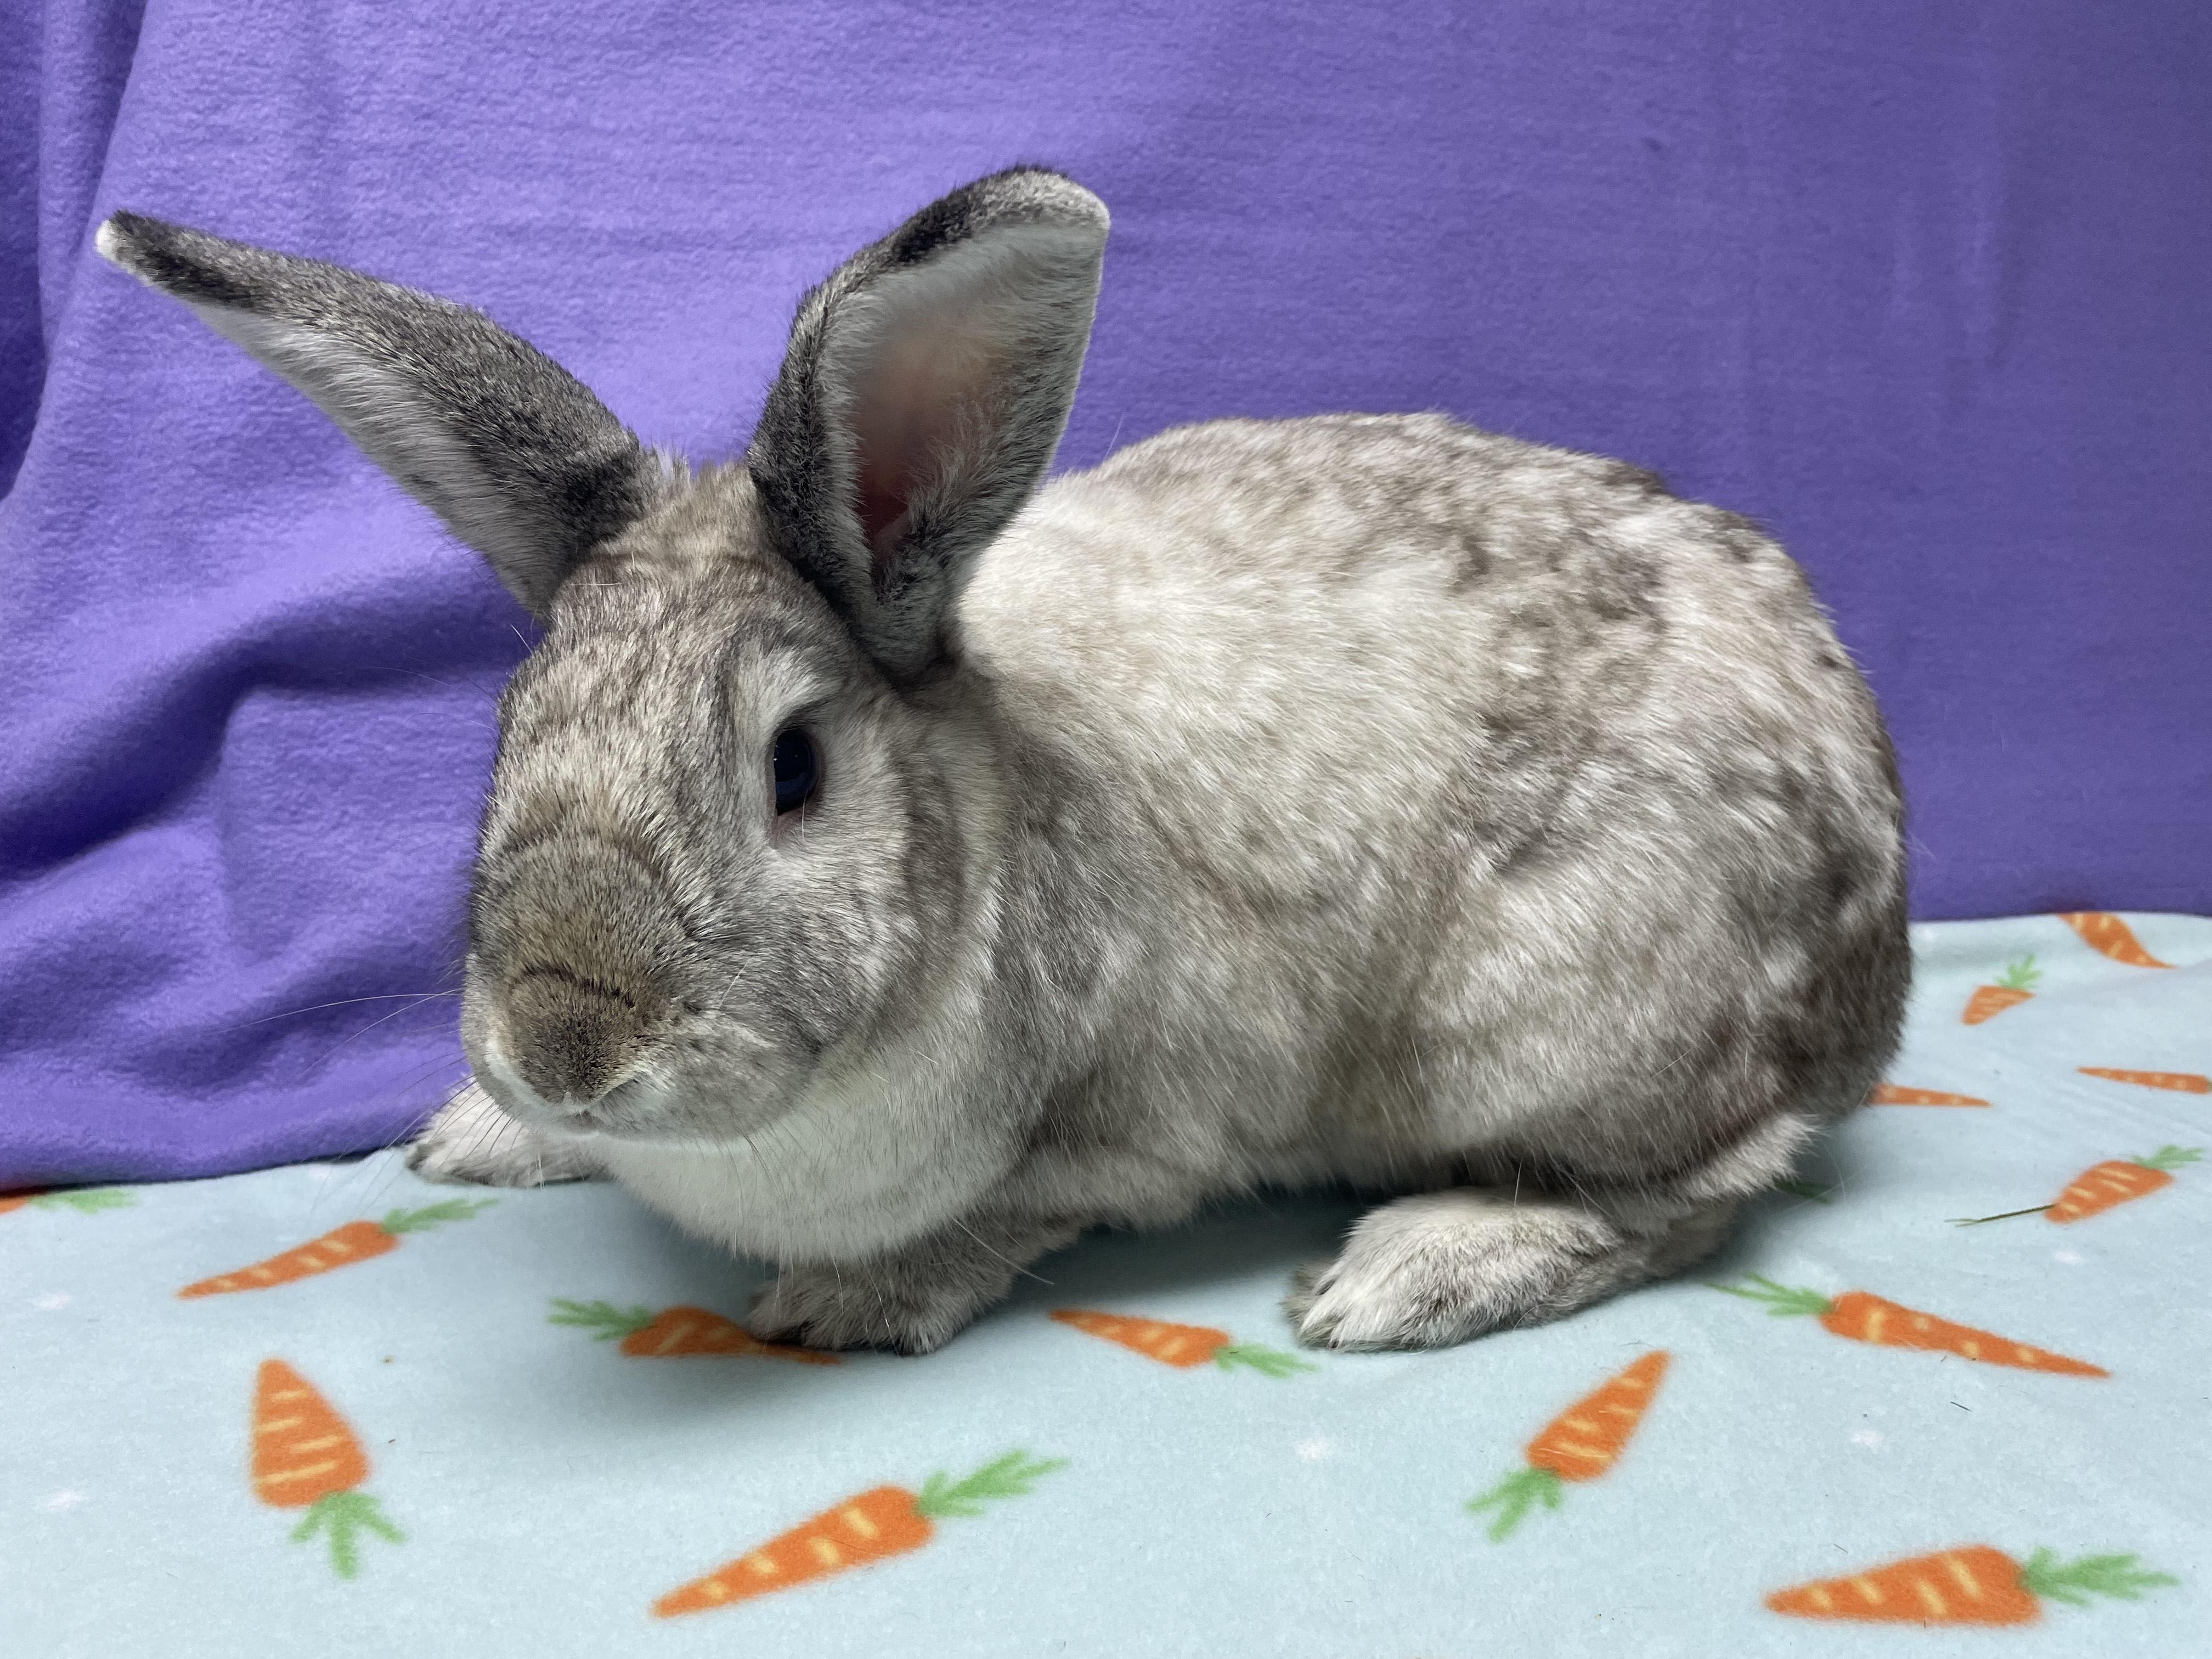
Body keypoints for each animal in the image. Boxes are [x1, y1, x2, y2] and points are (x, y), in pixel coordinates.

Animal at [100, 167, 1908, 1355]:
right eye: (511, 729)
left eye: (796, 771)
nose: (564, 1046)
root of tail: (1877, 947)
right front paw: (480, 1139)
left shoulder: (1151, 1128)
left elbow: (1019, 1215)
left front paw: (847, 1302)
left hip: (1542, 1041)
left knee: (1703, 1190)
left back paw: (1419, 1269)